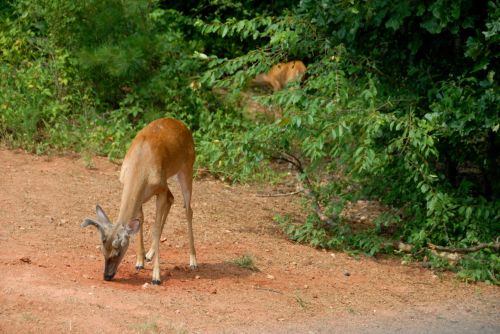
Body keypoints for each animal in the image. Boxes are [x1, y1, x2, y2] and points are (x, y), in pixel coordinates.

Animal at [82, 117, 197, 284]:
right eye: (102, 250)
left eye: (118, 252)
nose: (107, 276)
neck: (140, 168)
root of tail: (183, 125)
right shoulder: (142, 194)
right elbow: (141, 220)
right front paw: (139, 262)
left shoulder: (160, 189)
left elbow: (155, 227)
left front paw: (156, 276)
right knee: (172, 198)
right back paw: (149, 254)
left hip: (186, 169)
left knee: (188, 209)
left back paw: (193, 261)